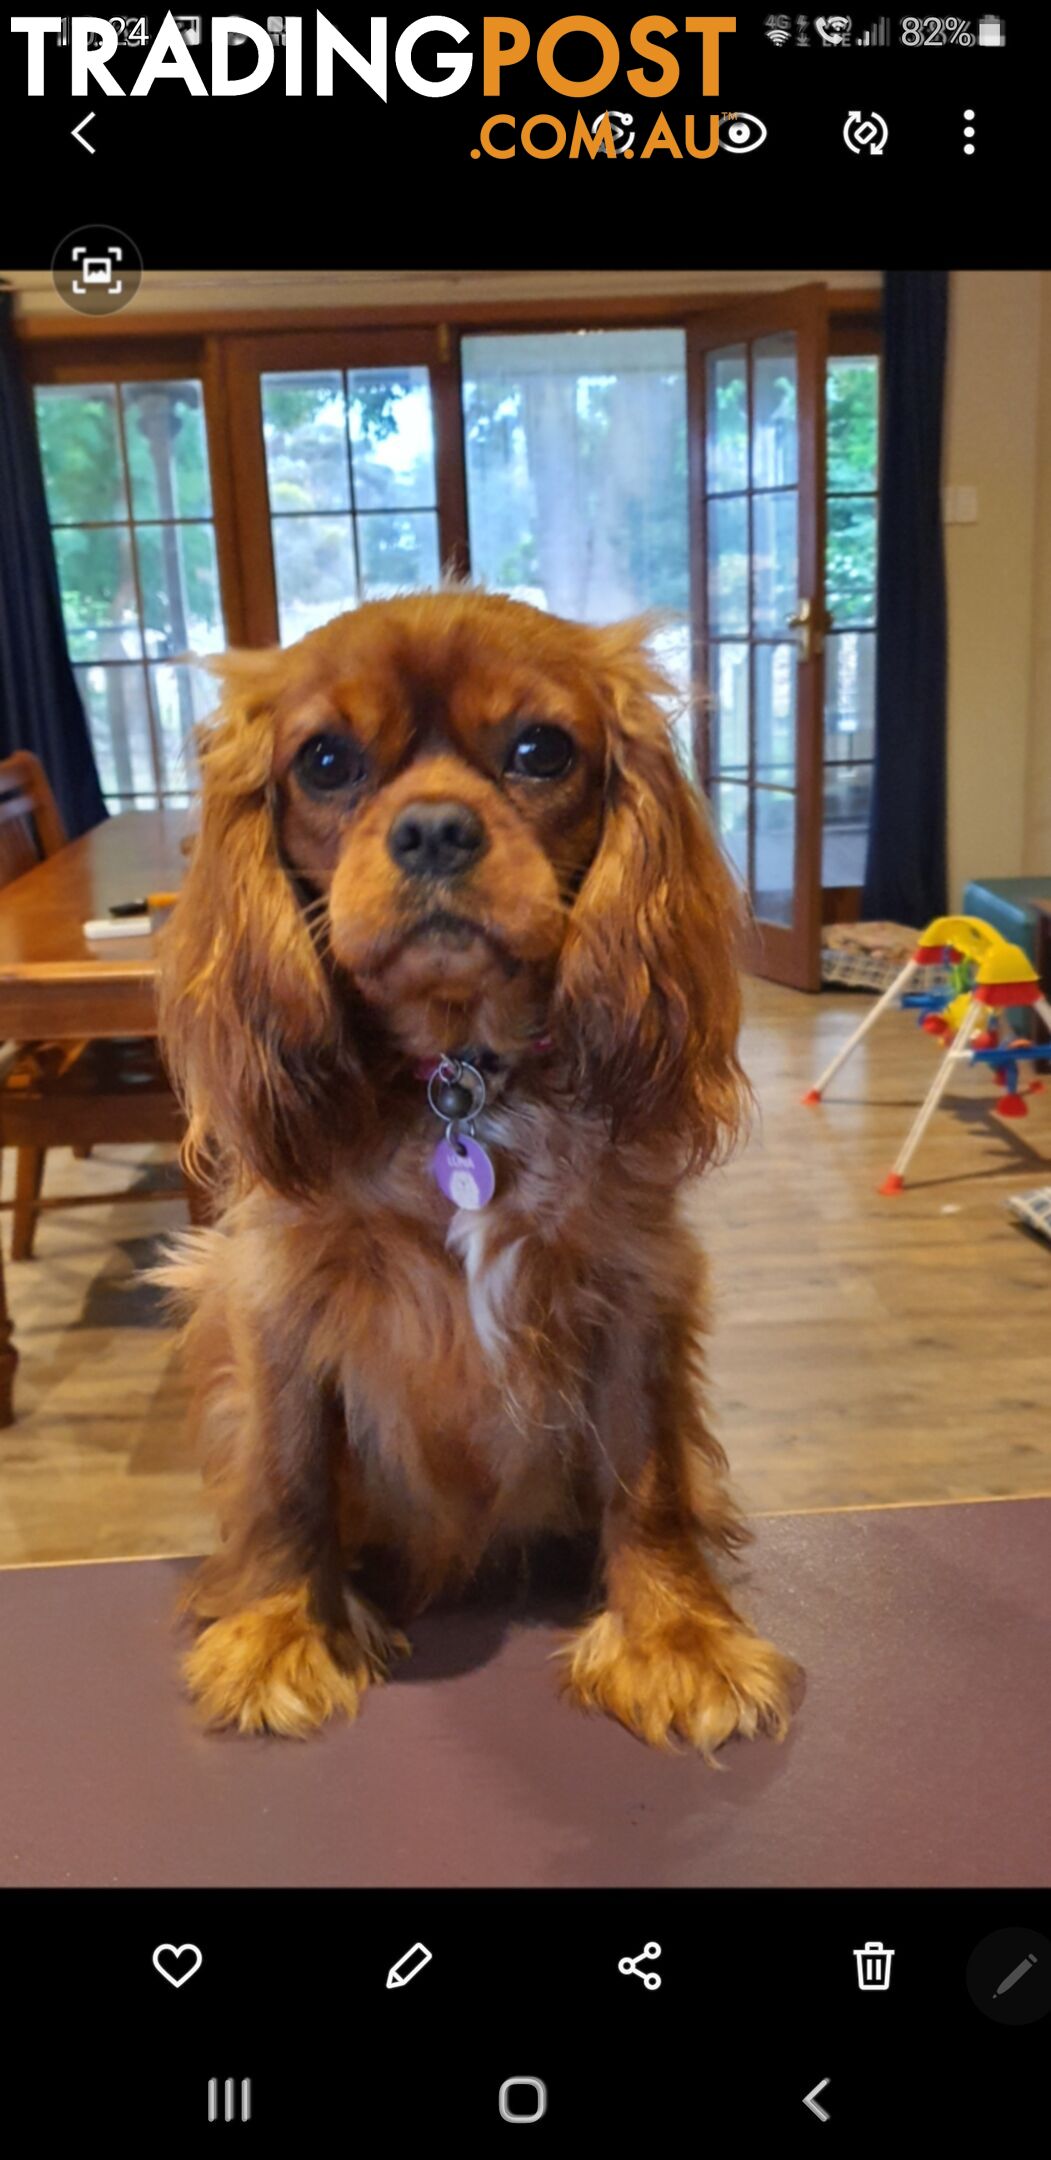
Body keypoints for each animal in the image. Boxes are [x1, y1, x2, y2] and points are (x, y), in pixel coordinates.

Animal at [158, 591, 798, 1753]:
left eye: (540, 750)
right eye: (325, 761)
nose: (434, 829)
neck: (457, 1080)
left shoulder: (633, 1290)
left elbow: (649, 1481)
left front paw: (675, 1638)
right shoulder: (272, 1296)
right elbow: (287, 1476)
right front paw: (281, 1631)